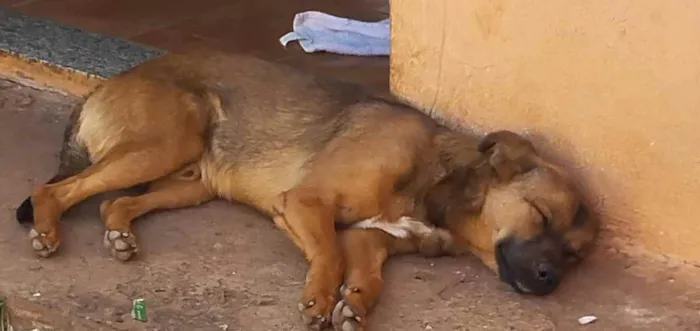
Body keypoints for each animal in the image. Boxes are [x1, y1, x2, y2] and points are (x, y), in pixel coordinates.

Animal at [15, 50, 596, 330]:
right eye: (541, 214)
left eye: (573, 255)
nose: (550, 280)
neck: (440, 185)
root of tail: (106, 84)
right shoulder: (303, 204)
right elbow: (330, 256)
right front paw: (318, 298)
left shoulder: (371, 240)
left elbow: (366, 277)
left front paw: (354, 306)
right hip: (166, 142)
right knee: (59, 189)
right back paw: (47, 230)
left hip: (192, 182)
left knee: (114, 201)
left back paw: (120, 234)